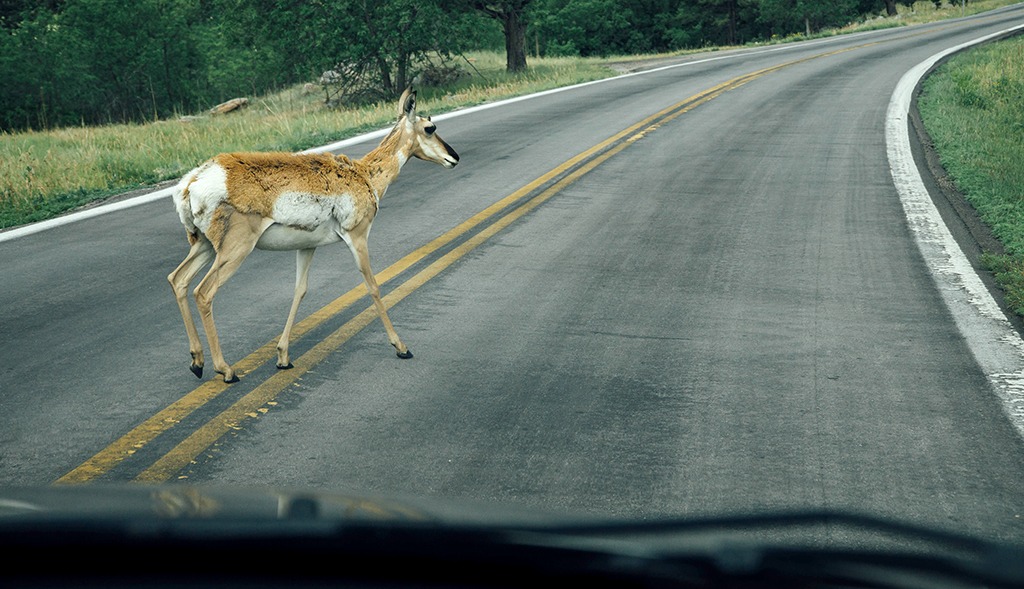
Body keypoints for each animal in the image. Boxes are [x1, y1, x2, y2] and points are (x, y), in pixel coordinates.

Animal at [168, 87, 460, 383]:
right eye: (429, 127)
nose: (454, 157)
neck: (364, 175)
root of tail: (192, 182)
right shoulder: (358, 238)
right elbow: (373, 286)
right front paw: (401, 347)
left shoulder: (307, 247)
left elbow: (300, 290)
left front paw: (283, 357)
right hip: (234, 250)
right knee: (203, 292)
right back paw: (226, 370)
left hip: (204, 246)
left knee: (178, 280)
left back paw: (197, 362)